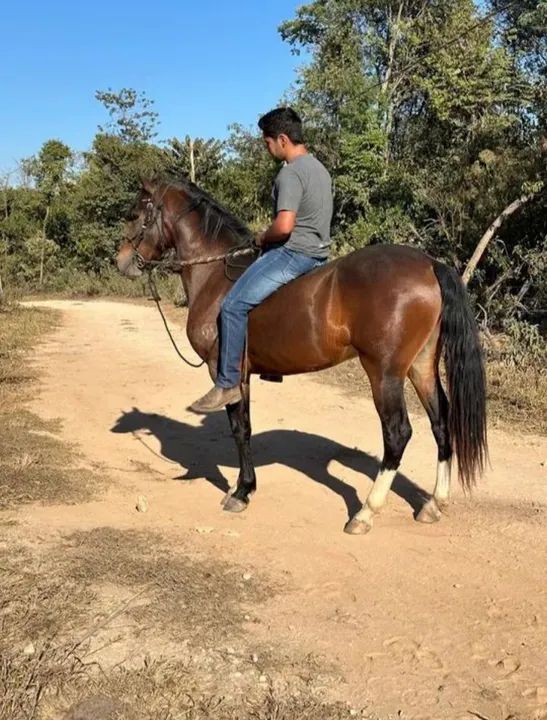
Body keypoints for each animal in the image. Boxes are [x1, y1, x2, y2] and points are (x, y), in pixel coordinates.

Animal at [116, 178, 487, 535]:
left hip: (384, 373)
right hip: (421, 366)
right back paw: (433, 505)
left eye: (134, 214)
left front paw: (241, 491)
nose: (120, 261)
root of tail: (430, 264)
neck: (216, 276)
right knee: (441, 422)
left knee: (397, 433)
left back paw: (366, 513)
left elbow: (240, 428)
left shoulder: (227, 373)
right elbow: (243, 427)